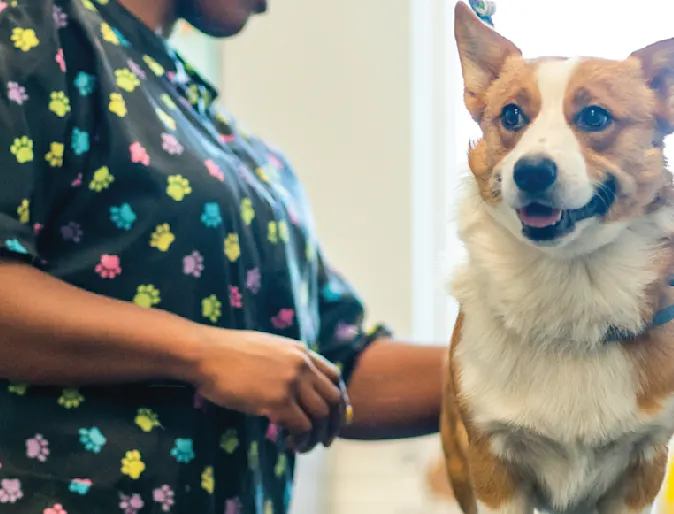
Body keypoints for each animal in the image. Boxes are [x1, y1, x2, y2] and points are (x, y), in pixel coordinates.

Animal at [440, 2, 674, 510]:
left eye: (594, 117)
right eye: (511, 115)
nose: (531, 172)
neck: (570, 278)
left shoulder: (644, 464)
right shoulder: (493, 465)